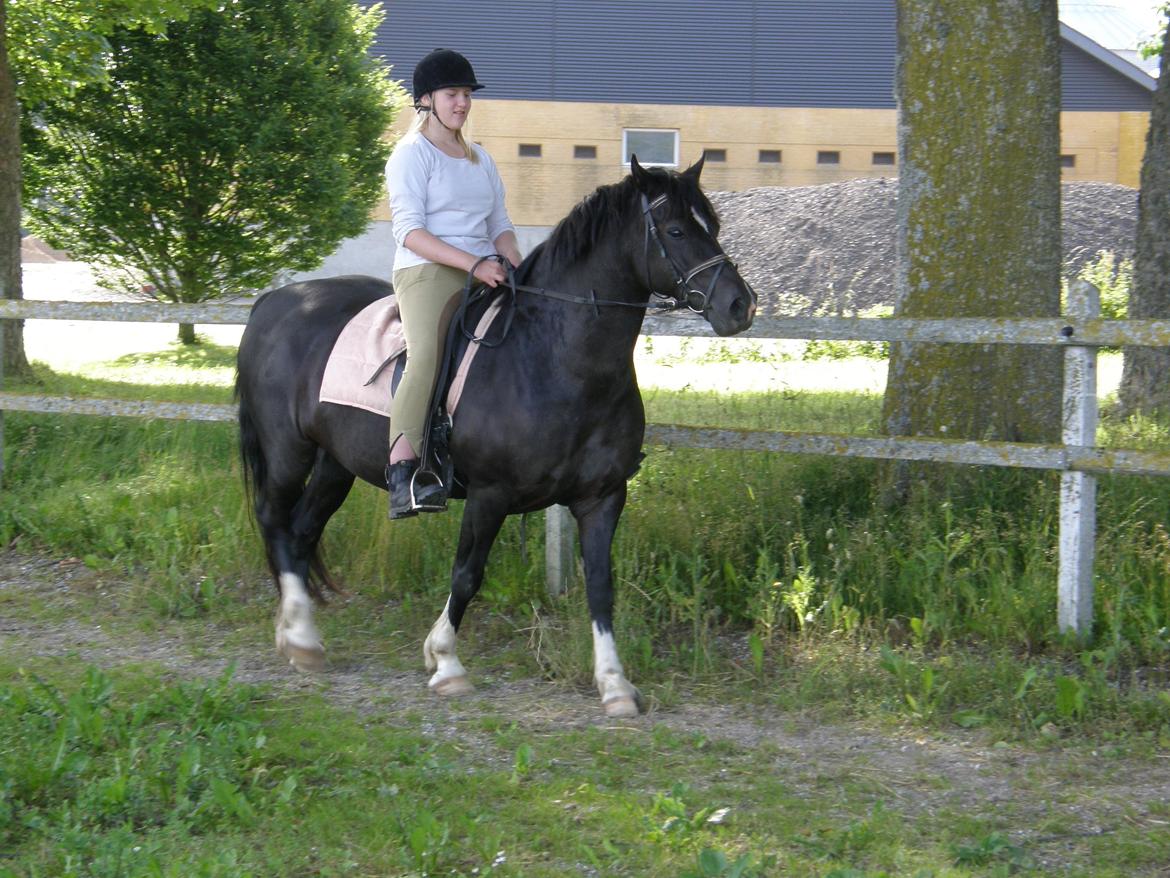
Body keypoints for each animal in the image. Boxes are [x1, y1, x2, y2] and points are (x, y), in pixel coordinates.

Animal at [235, 156, 758, 716]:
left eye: (713, 226)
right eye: (677, 230)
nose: (740, 305)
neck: (551, 356)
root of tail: (276, 300)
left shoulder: (602, 497)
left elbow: (600, 585)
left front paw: (615, 684)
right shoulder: (490, 495)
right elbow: (467, 574)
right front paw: (445, 662)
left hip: (336, 463)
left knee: (302, 530)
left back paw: (297, 633)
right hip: (288, 452)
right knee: (274, 519)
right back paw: (301, 636)